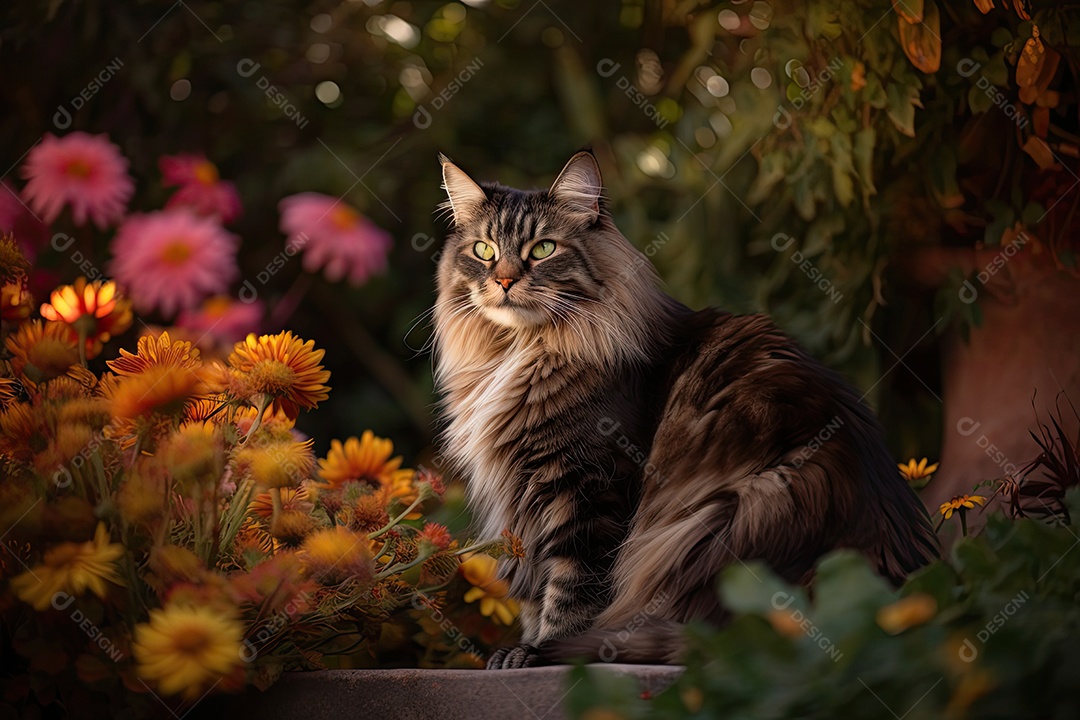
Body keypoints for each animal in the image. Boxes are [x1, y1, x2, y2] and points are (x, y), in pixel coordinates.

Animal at [429, 151, 937, 669]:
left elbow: (571, 588)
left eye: (543, 249)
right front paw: (523, 647)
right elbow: (535, 588)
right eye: (484, 250)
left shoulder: (590, 487)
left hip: (730, 515)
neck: (520, 351)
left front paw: (540, 650)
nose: (504, 280)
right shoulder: (524, 496)